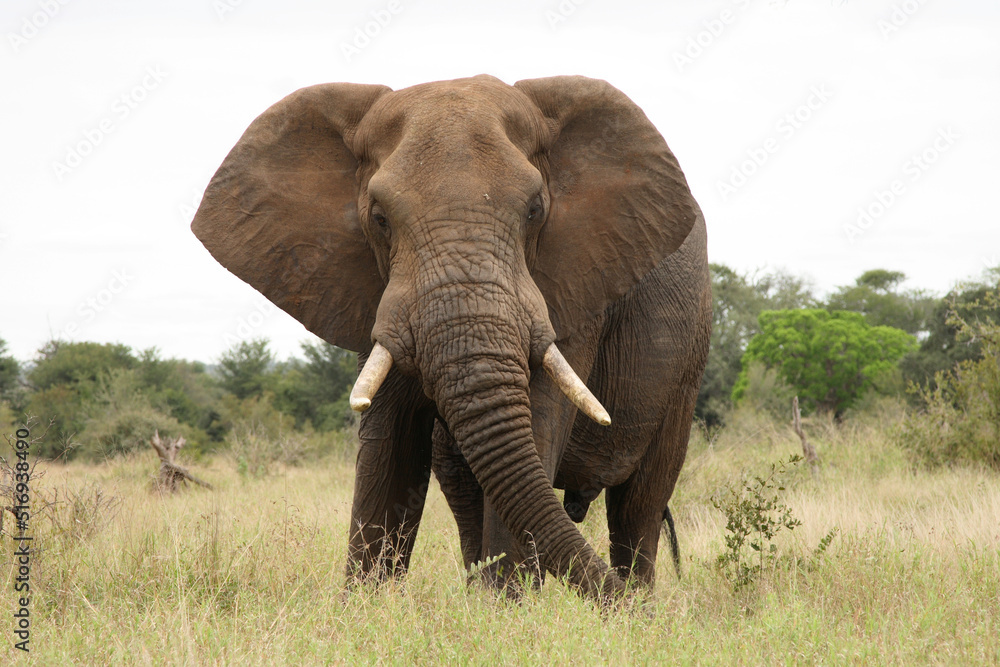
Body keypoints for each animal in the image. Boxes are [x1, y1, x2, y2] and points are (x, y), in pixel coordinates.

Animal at [191, 74, 711, 603]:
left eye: (535, 210)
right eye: (379, 218)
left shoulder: (575, 286)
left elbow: (540, 419)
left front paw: (510, 613)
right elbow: (390, 443)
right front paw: (367, 606)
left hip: (689, 362)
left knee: (639, 506)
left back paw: (633, 598)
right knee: (466, 491)